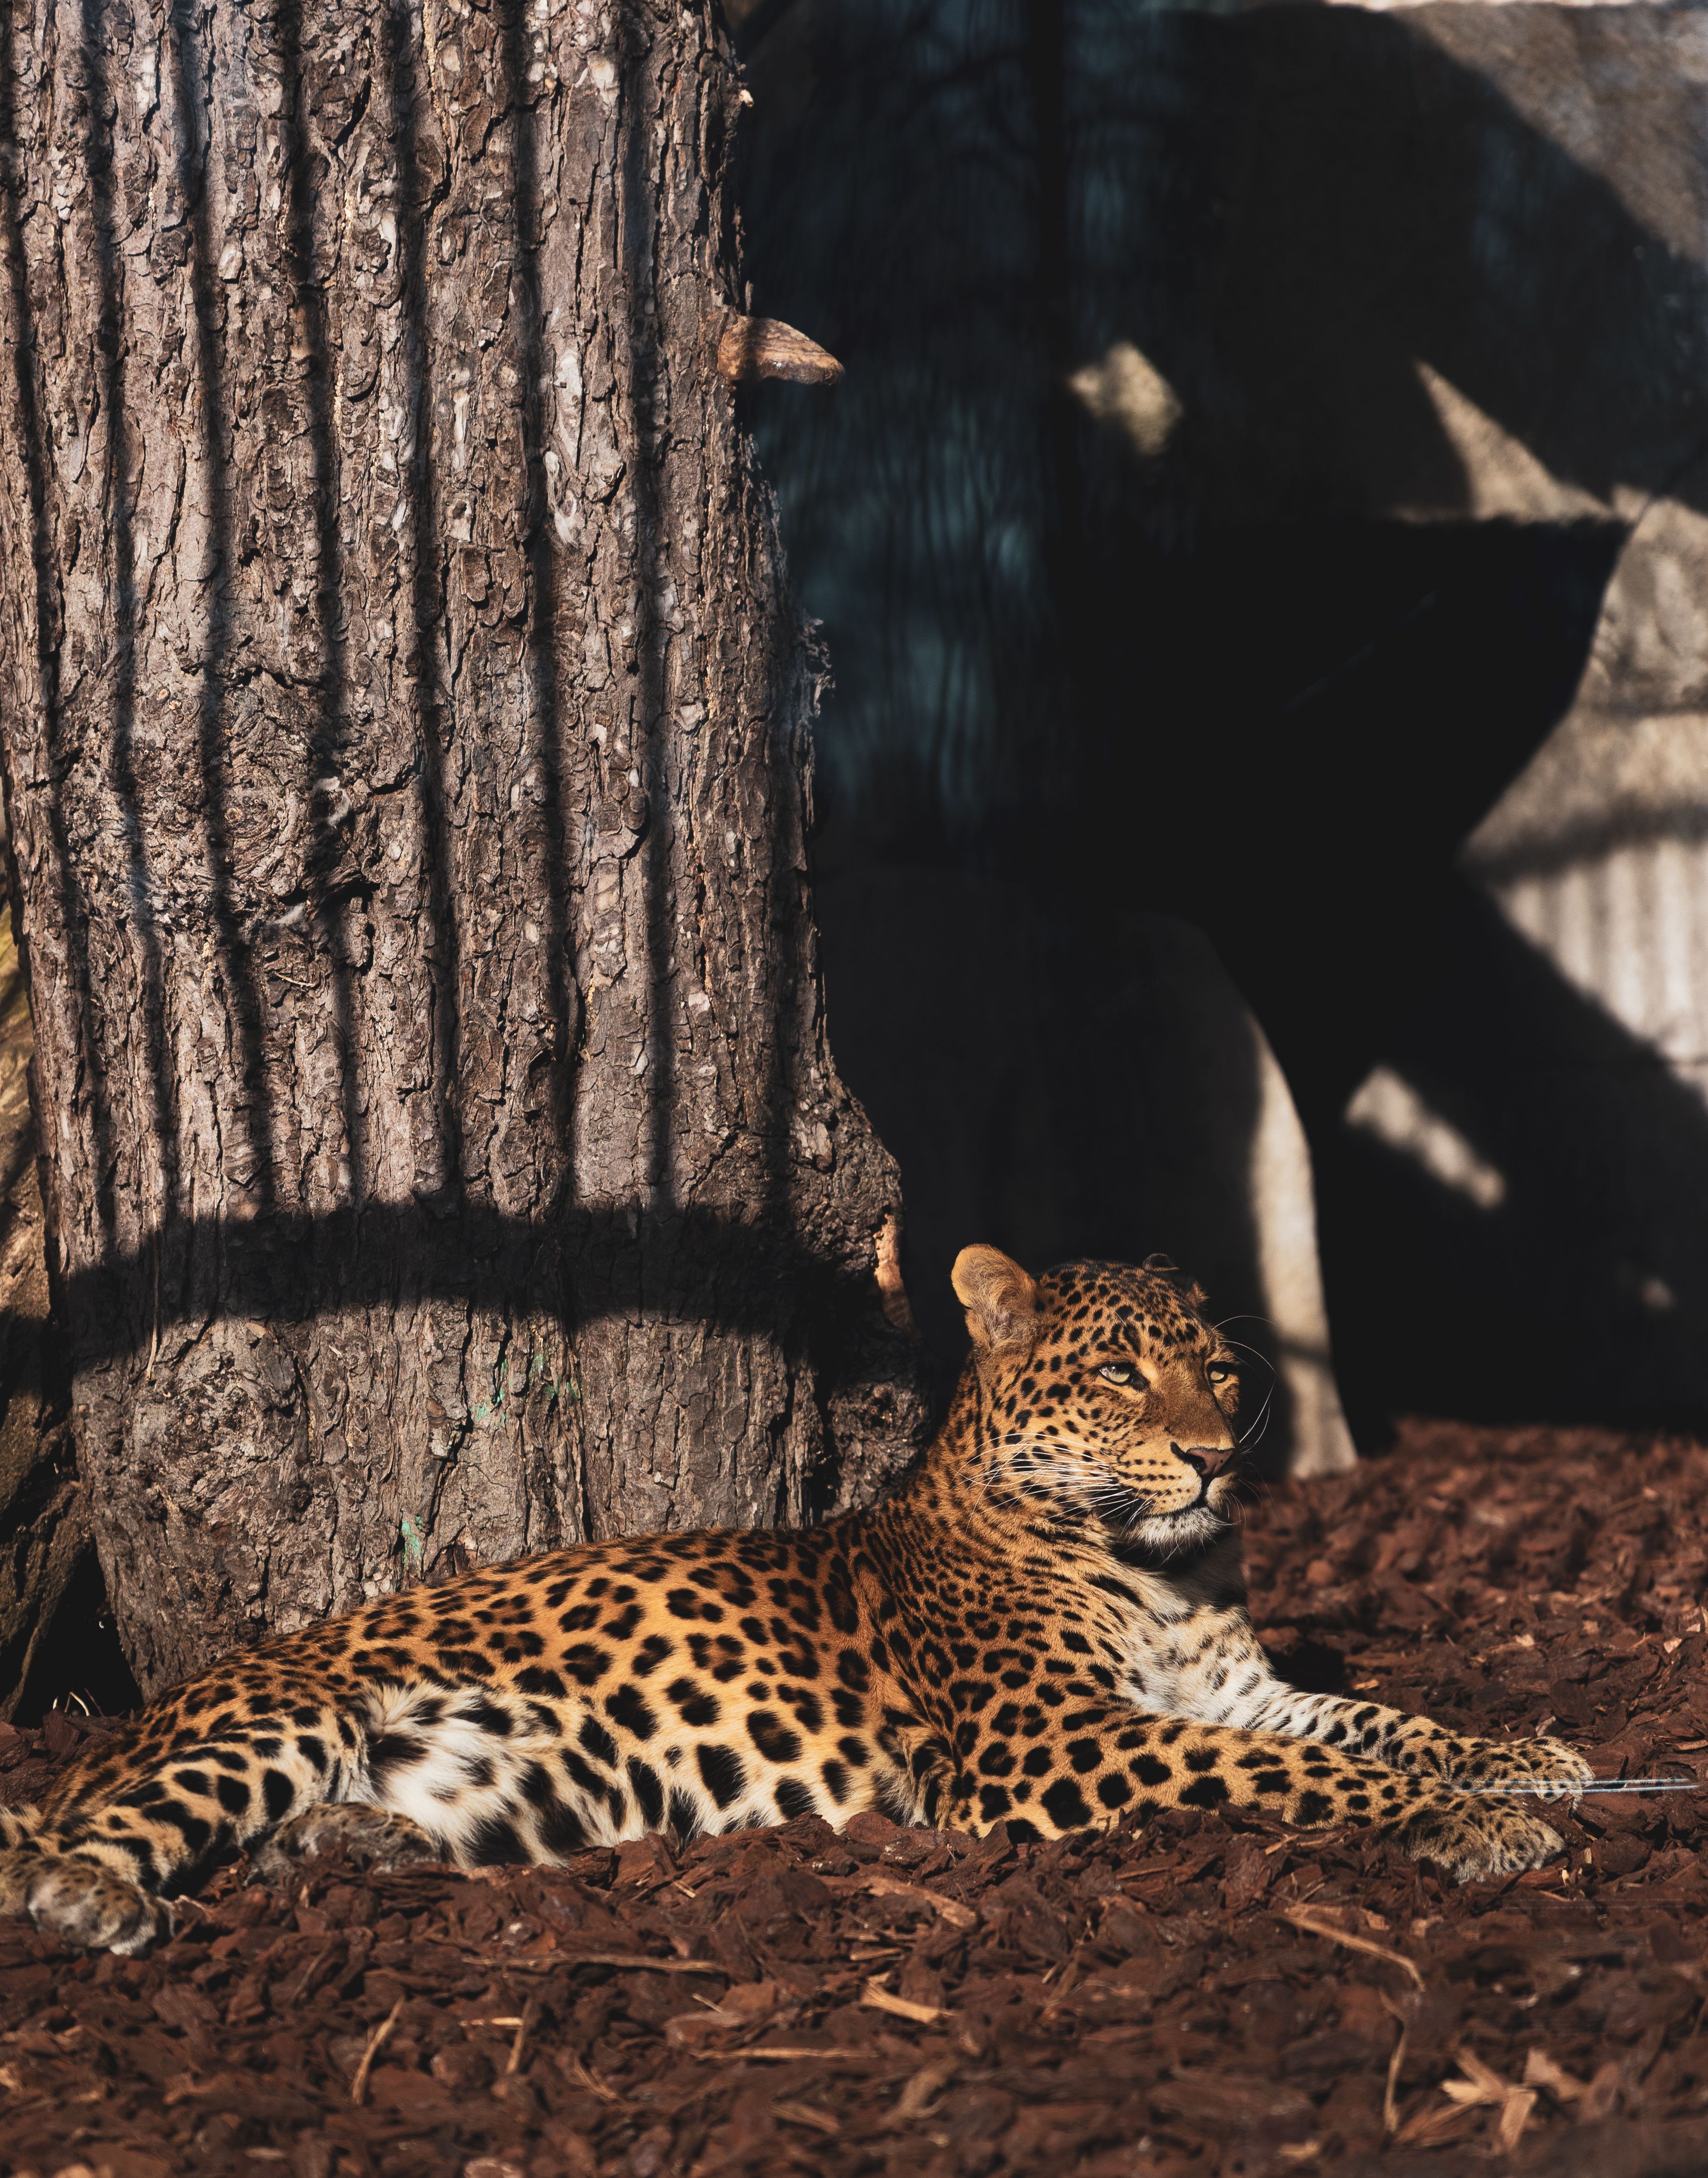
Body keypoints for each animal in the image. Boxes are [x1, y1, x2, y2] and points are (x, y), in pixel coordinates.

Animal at [0, 1244, 1591, 1952]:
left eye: (1212, 1365)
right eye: (1121, 1374)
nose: (1215, 1452)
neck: (1163, 1568)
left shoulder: (1233, 1685)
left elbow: (1366, 1723)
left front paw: (1526, 1758)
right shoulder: (1048, 1746)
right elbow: (1290, 1776)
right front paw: (1475, 1823)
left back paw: (335, 1851)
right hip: (277, 1717)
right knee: (95, 1835)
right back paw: (91, 1894)